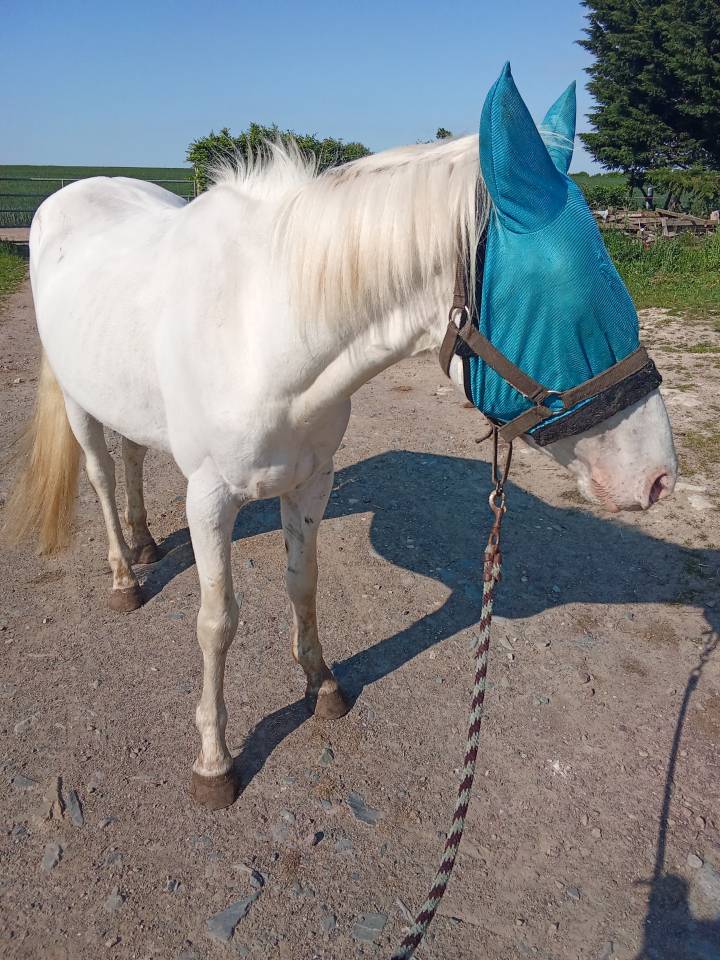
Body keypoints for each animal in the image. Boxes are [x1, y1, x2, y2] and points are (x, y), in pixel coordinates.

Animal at [4, 70, 677, 812]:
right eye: (571, 301)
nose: (657, 477)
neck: (262, 329)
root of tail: (66, 196)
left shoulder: (312, 480)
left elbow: (303, 583)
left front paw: (321, 684)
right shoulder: (209, 499)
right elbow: (217, 621)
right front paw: (214, 760)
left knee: (129, 455)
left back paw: (147, 540)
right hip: (78, 401)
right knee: (99, 472)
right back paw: (125, 573)